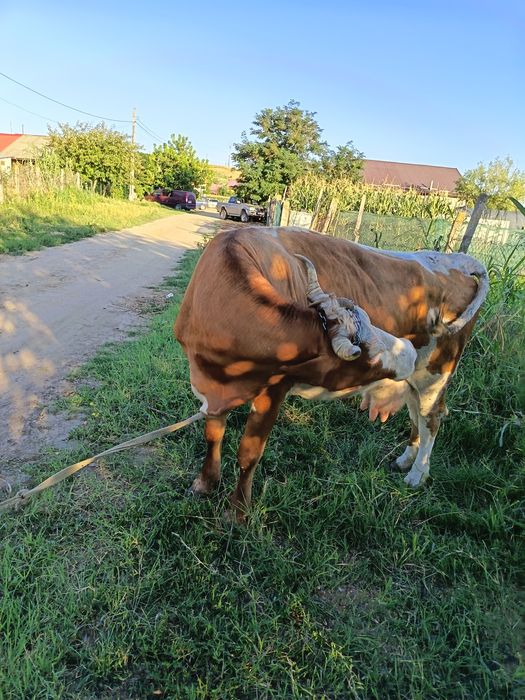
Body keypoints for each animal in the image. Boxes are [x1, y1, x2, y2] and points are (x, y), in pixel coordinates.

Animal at [174, 226, 488, 522]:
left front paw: (237, 513)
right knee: (416, 414)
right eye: (368, 358)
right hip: (417, 381)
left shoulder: (274, 388)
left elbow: (248, 453)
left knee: (431, 418)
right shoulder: (210, 387)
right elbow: (213, 435)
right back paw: (405, 460)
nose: (409, 349)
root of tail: (454, 260)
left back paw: (417, 474)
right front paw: (205, 484)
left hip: (436, 372)